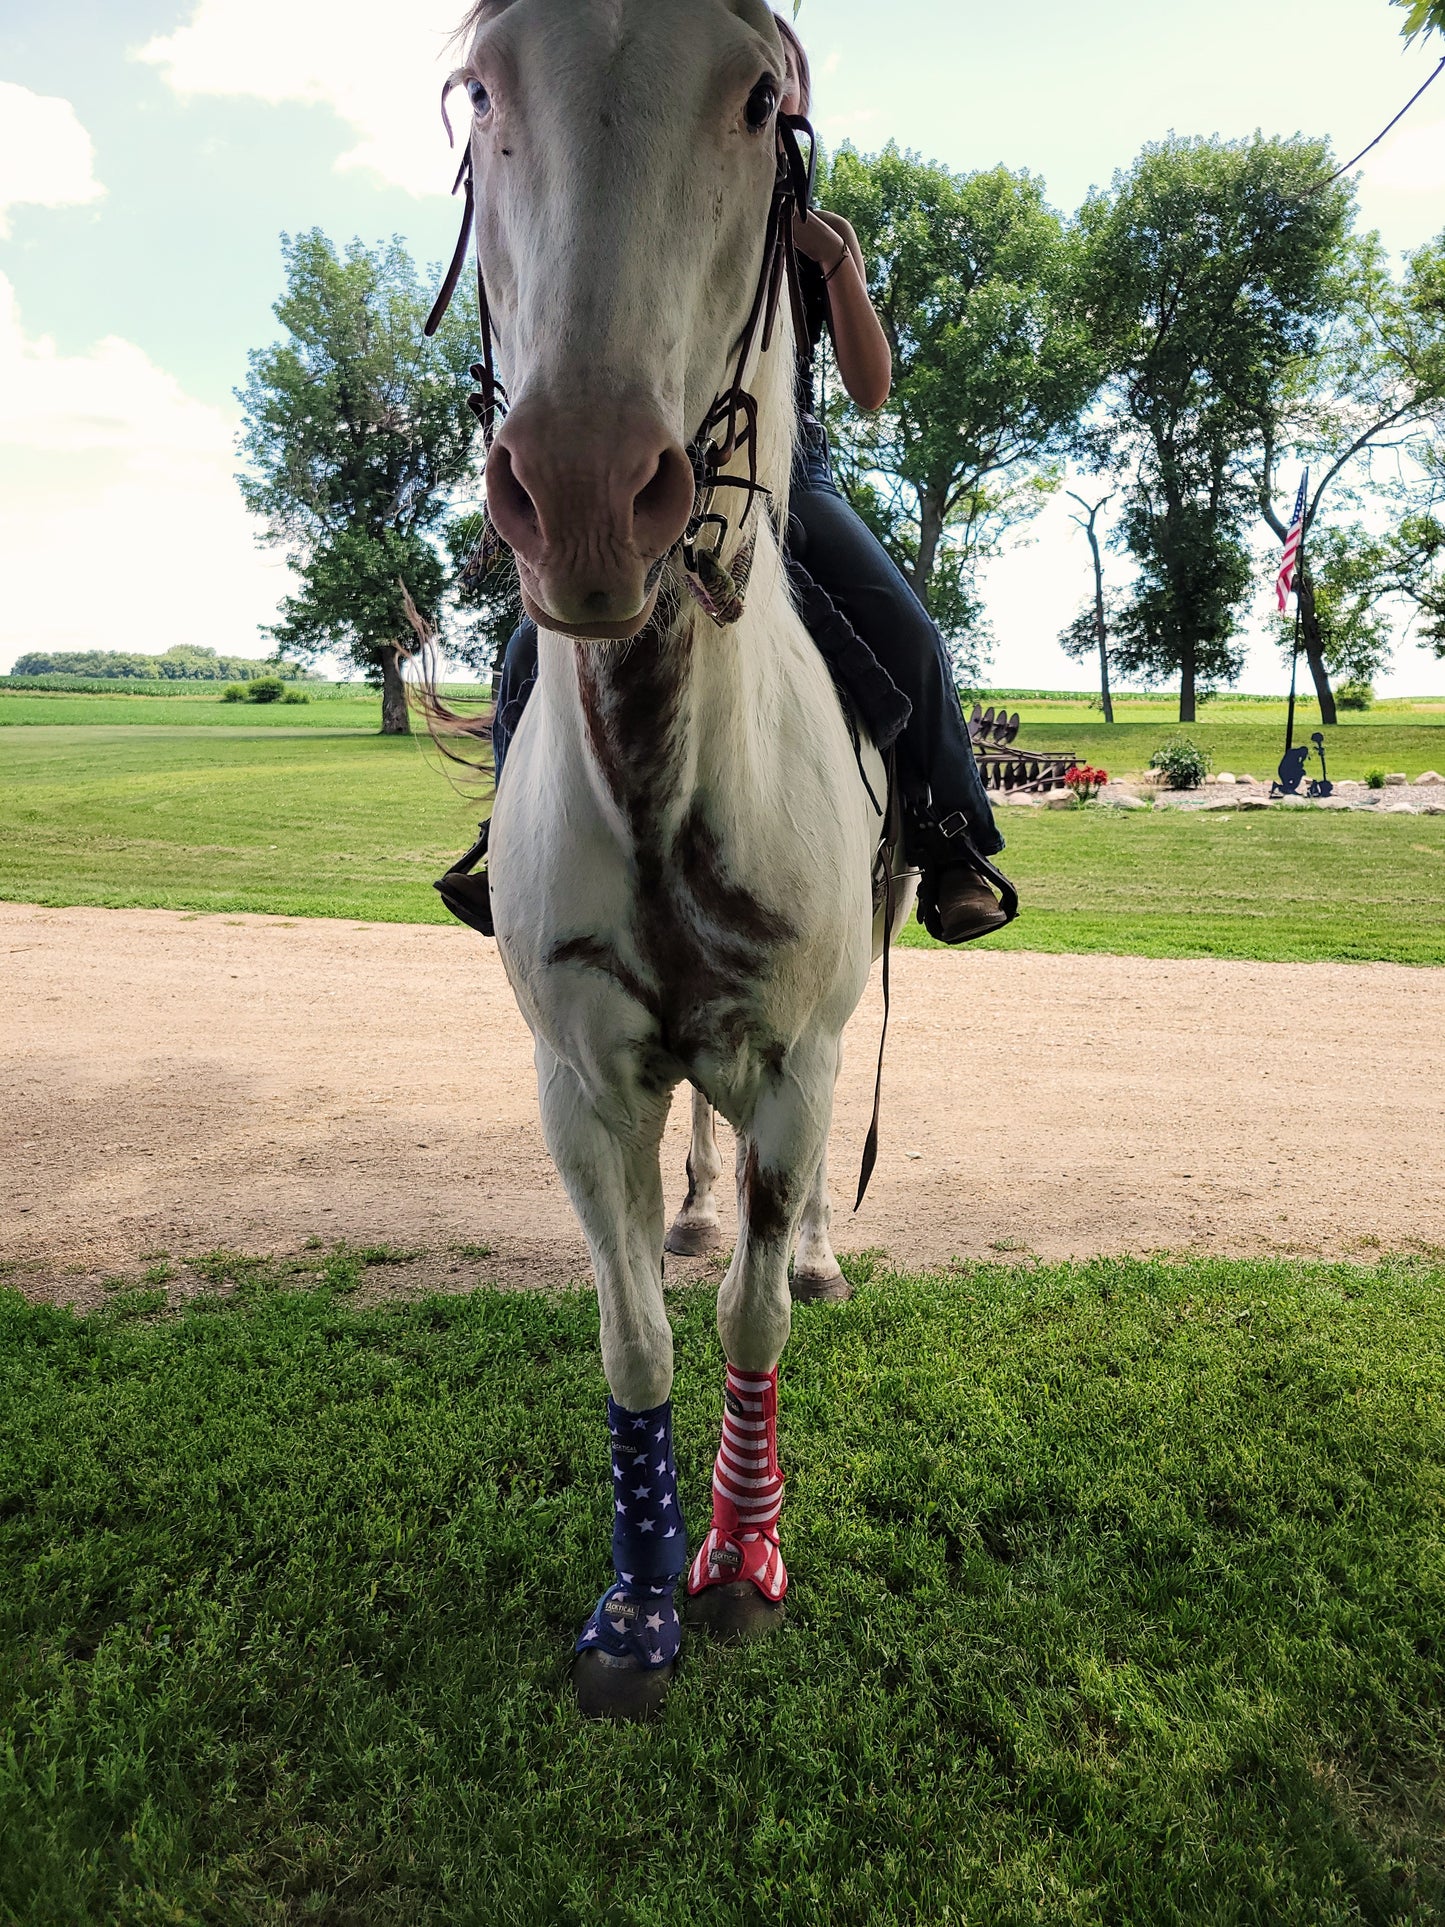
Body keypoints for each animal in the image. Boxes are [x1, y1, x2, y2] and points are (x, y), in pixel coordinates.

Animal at [446, 0, 909, 1718]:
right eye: (480, 86)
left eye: (760, 97)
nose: (584, 490)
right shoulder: (581, 1081)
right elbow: (639, 1335)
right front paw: (640, 1603)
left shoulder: (791, 1058)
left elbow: (749, 1314)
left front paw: (742, 1561)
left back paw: (824, 1247)